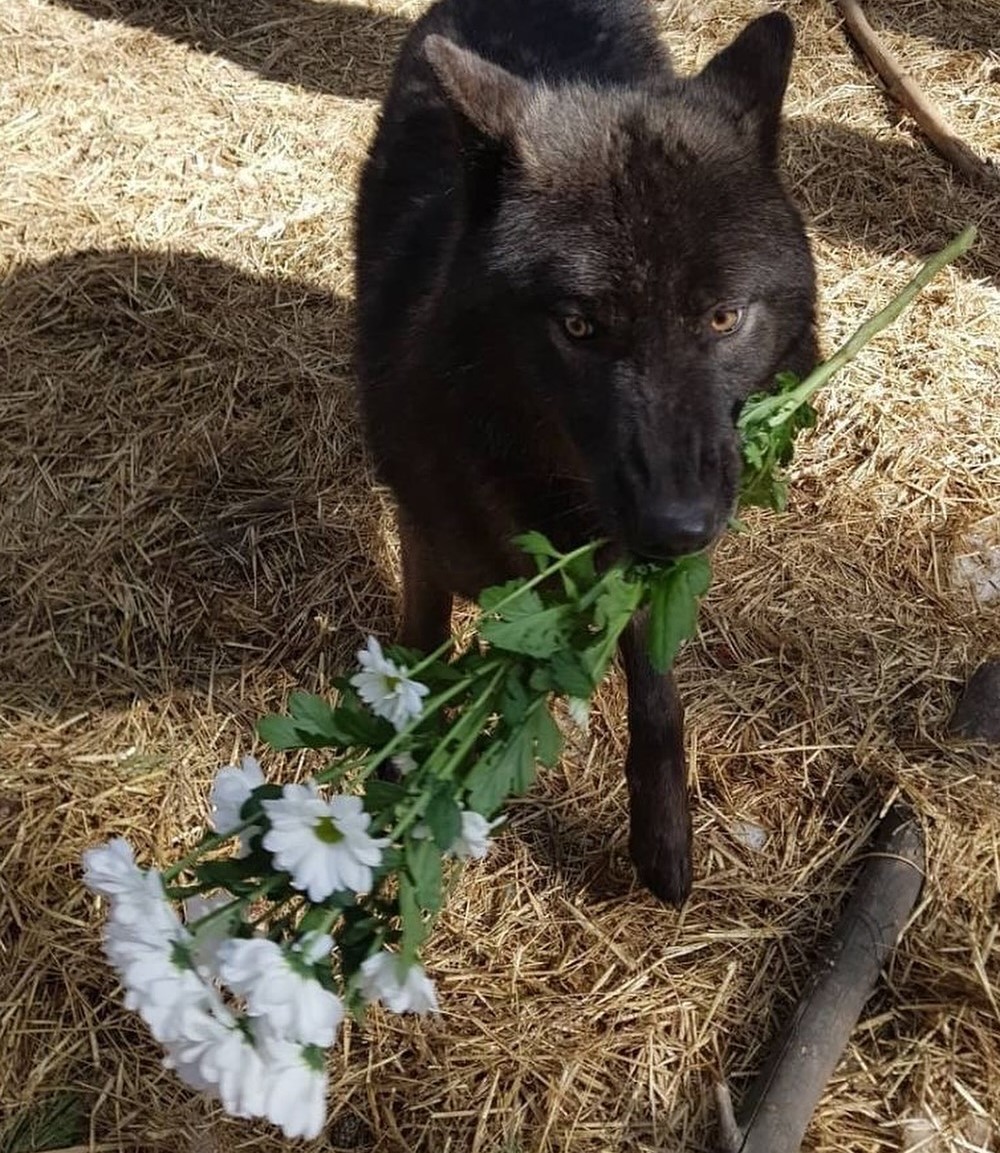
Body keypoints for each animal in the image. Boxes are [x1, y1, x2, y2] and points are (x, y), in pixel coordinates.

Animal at [354, 0, 817, 906]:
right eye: (578, 325)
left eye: (722, 317)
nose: (680, 525)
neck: (555, 504)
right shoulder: (425, 532)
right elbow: (419, 650)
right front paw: (403, 770)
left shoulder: (642, 581)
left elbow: (658, 696)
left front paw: (663, 840)